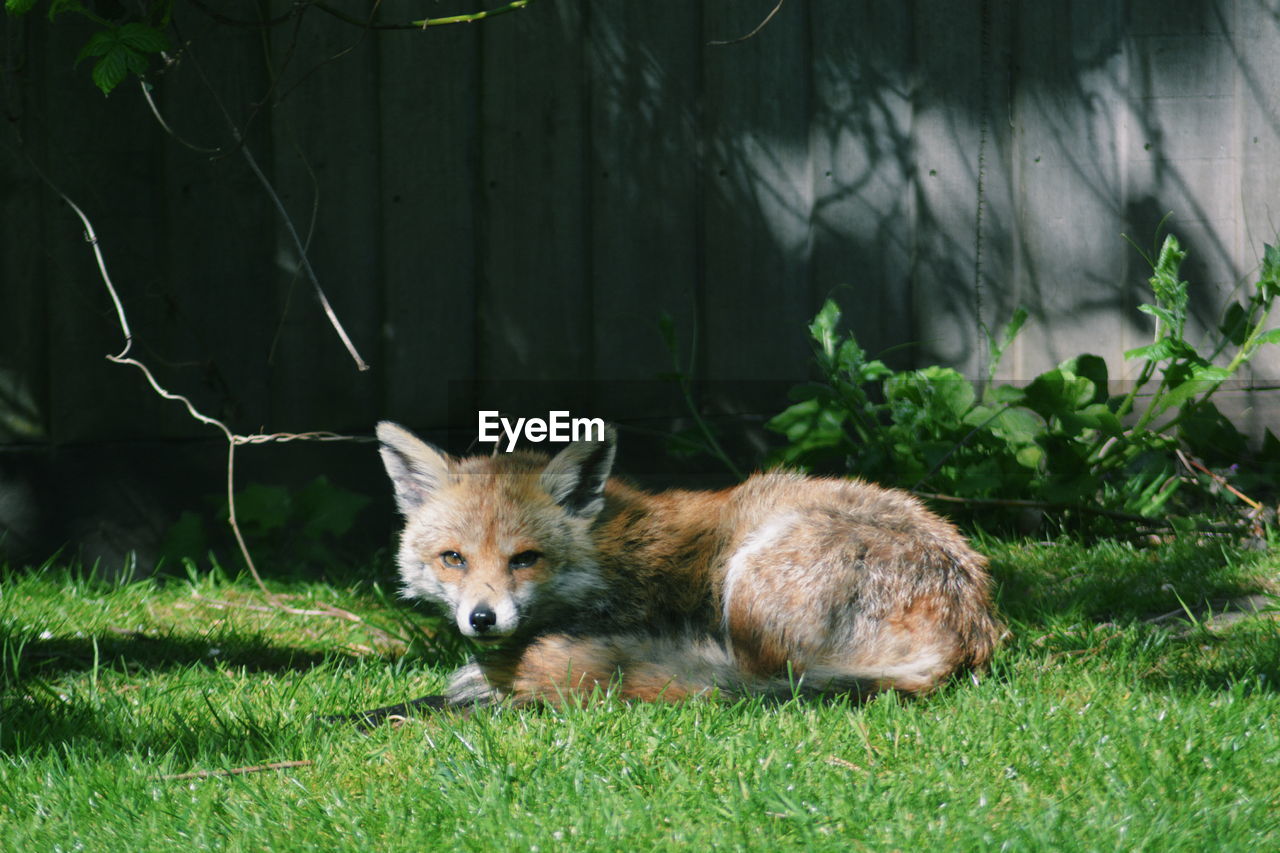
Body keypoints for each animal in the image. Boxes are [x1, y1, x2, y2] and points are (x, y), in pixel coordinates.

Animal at [368, 420, 998, 712]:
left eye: (525, 559)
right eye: (453, 558)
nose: (482, 619)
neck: (611, 559)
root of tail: (969, 630)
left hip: (751, 578)